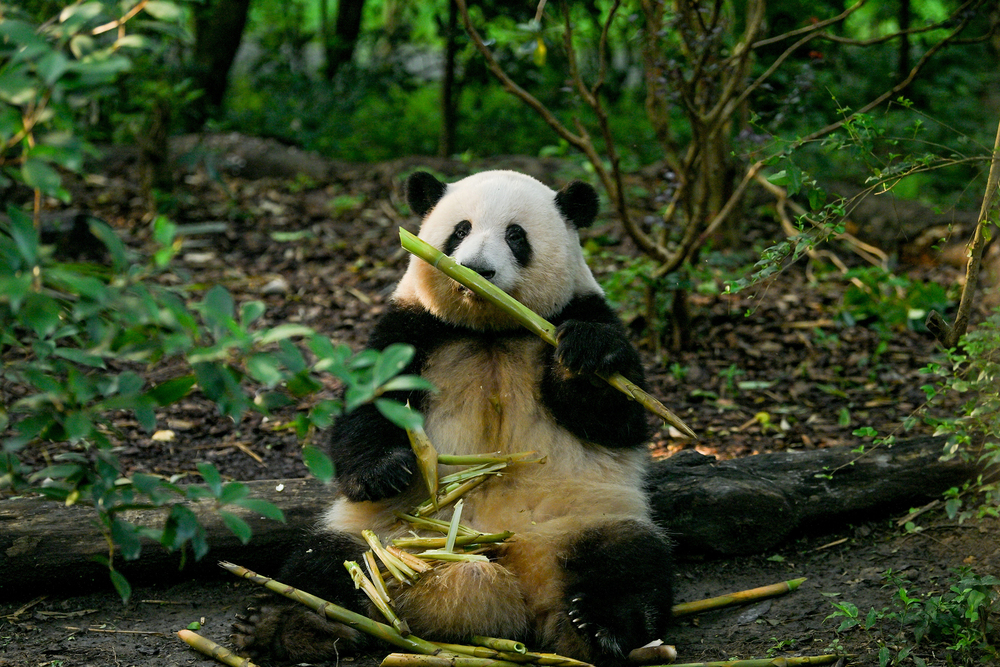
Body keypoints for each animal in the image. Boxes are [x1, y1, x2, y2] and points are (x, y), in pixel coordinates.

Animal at [233, 170, 674, 666]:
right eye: (460, 230)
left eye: (515, 235)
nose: (478, 270)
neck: (490, 330)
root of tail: (502, 578)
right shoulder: (413, 329)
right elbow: (366, 411)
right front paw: (385, 470)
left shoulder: (580, 310)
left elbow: (617, 417)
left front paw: (584, 353)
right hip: (380, 534)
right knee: (323, 564)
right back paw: (282, 625)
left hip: (585, 515)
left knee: (628, 562)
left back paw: (598, 626)